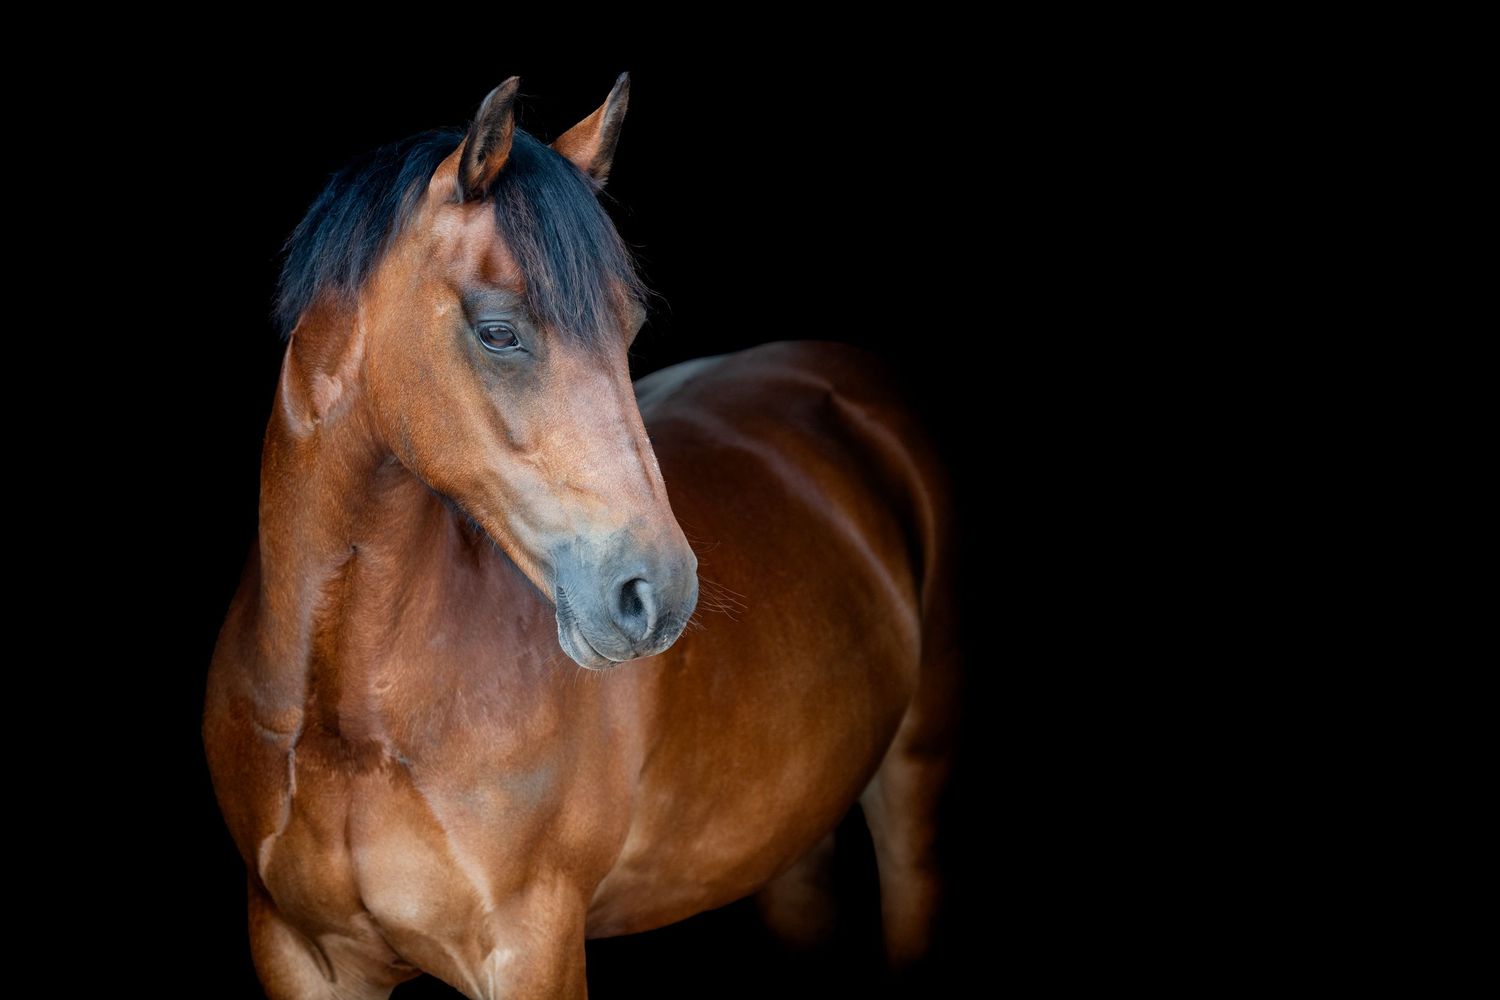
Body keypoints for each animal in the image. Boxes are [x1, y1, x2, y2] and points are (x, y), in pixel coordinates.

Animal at [204, 74, 958, 999]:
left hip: (916, 787)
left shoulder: (532, 948)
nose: (657, 594)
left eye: (627, 330)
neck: (341, 722)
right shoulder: (296, 950)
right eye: (498, 331)